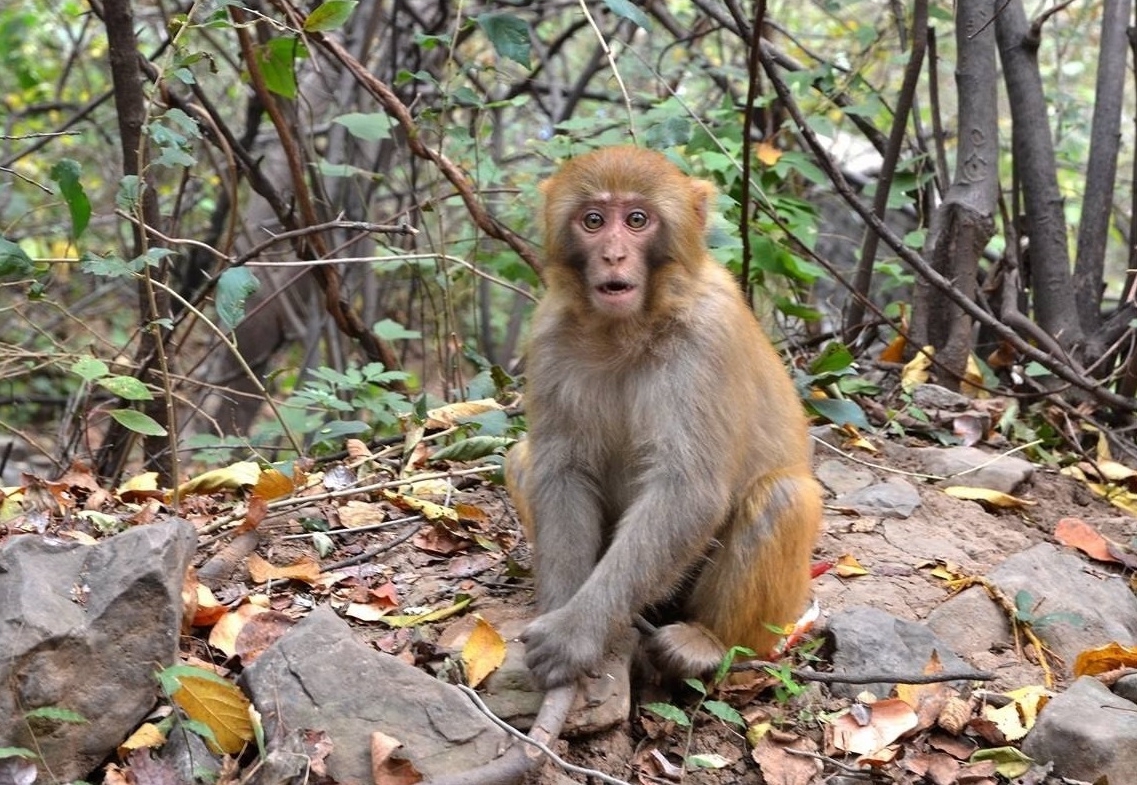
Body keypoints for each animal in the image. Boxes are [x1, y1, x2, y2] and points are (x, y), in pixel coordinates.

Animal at [504, 145, 818, 682]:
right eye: (593, 221)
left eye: (636, 220)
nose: (613, 255)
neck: (627, 331)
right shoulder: (548, 336)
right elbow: (563, 471)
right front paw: (562, 609)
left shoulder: (708, 338)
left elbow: (687, 490)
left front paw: (576, 632)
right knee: (524, 458)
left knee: (783, 497)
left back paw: (709, 641)